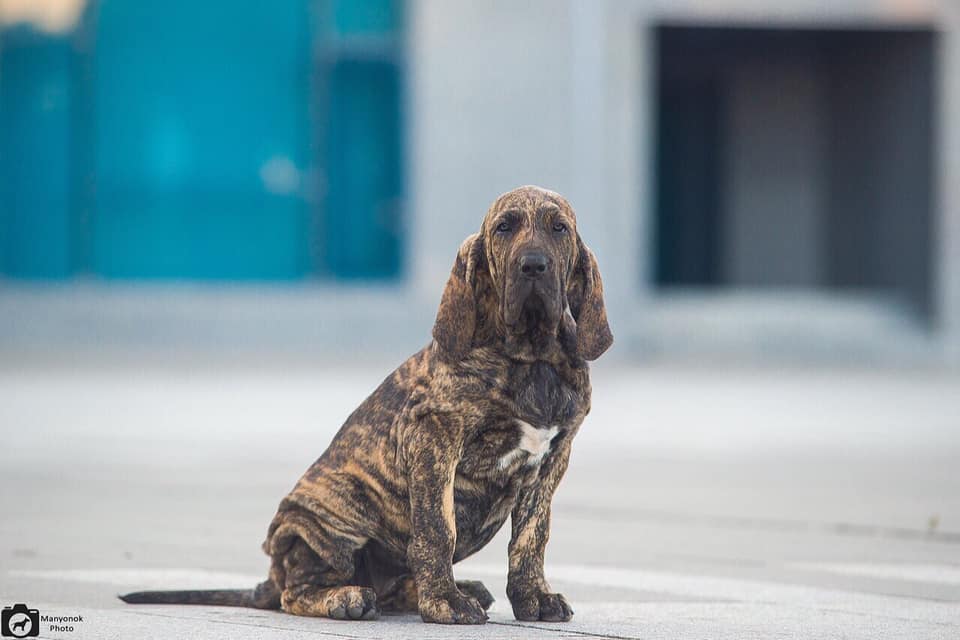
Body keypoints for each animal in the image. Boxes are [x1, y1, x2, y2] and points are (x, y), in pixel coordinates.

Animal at [120, 185, 612, 624]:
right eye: (505, 227)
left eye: (558, 228)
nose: (533, 265)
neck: (531, 359)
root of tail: (271, 577)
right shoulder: (433, 439)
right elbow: (437, 528)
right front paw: (444, 604)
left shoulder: (553, 460)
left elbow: (531, 538)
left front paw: (533, 599)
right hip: (327, 522)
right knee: (298, 591)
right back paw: (349, 597)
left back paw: (454, 588)